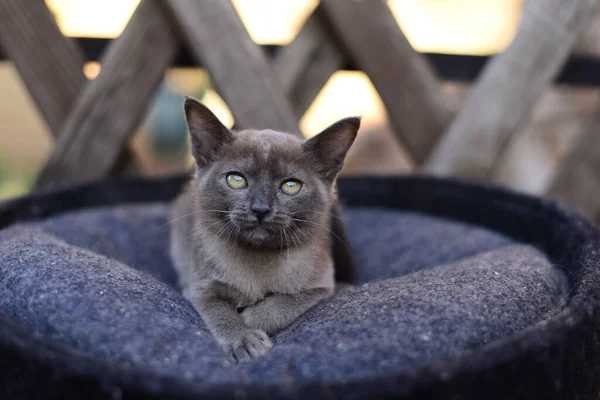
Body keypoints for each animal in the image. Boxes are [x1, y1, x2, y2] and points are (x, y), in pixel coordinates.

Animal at [169, 97, 358, 362]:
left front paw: (250, 322)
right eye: (236, 179)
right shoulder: (200, 286)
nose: (260, 208)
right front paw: (244, 338)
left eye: (291, 186)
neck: (257, 264)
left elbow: (284, 304)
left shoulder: (320, 286)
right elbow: (219, 312)